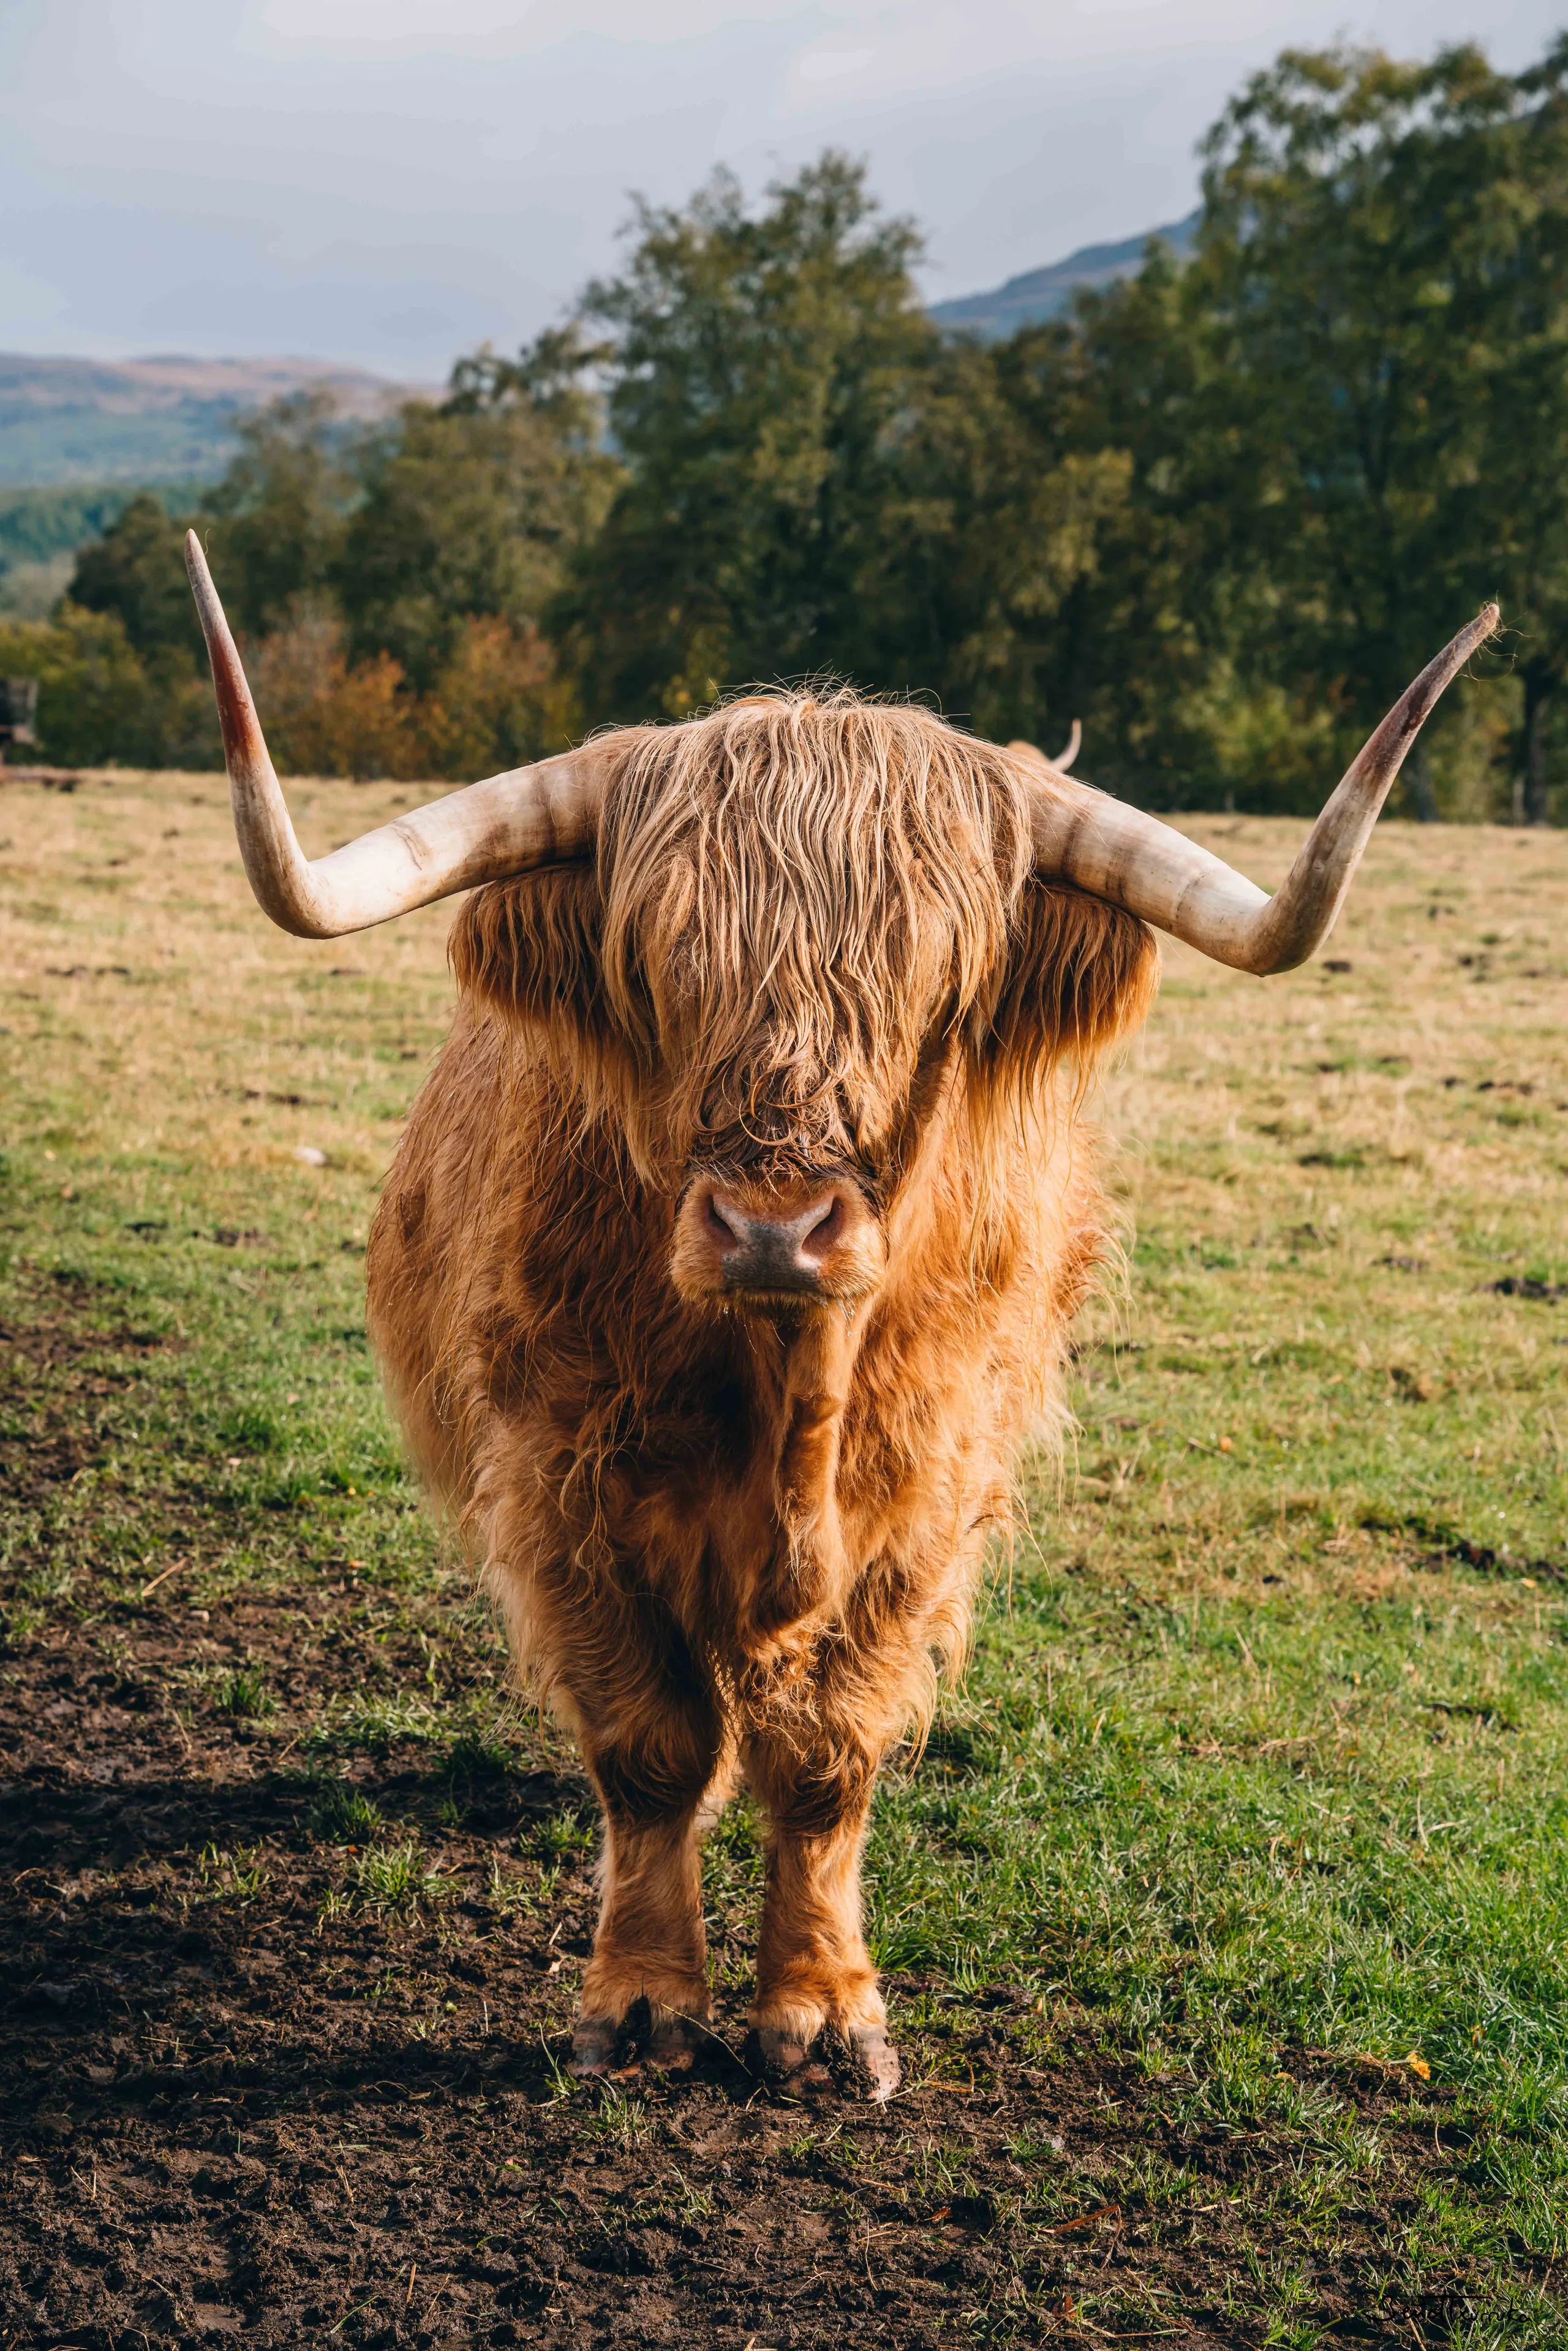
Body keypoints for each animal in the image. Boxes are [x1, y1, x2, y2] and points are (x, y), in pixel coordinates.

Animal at [185, 532, 1493, 2099]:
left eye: (943, 982)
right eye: (654, 967)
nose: (772, 1226)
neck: (783, 1393)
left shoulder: (927, 1494)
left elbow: (826, 1755)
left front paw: (816, 2013)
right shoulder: (562, 1474)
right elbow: (646, 1741)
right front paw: (641, 2000)